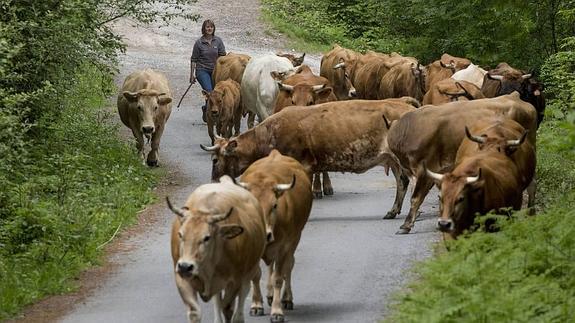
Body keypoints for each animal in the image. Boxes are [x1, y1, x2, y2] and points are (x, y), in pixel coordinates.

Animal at [166, 175, 266, 323]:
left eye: (207, 237)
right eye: (180, 234)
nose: (185, 266)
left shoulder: (235, 281)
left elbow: (228, 308)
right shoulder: (182, 279)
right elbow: (195, 312)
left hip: (250, 272)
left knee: (241, 302)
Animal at [201, 98, 418, 220]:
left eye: (214, 160)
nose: (213, 180)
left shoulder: (303, 166)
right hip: (393, 160)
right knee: (402, 182)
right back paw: (392, 212)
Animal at [236, 151, 312, 323]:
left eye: (275, 205)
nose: (266, 234)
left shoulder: (284, 247)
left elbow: (279, 277)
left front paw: (277, 311)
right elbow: (256, 275)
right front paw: (256, 305)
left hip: (295, 239)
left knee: (288, 266)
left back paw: (286, 298)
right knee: (271, 266)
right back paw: (270, 295)